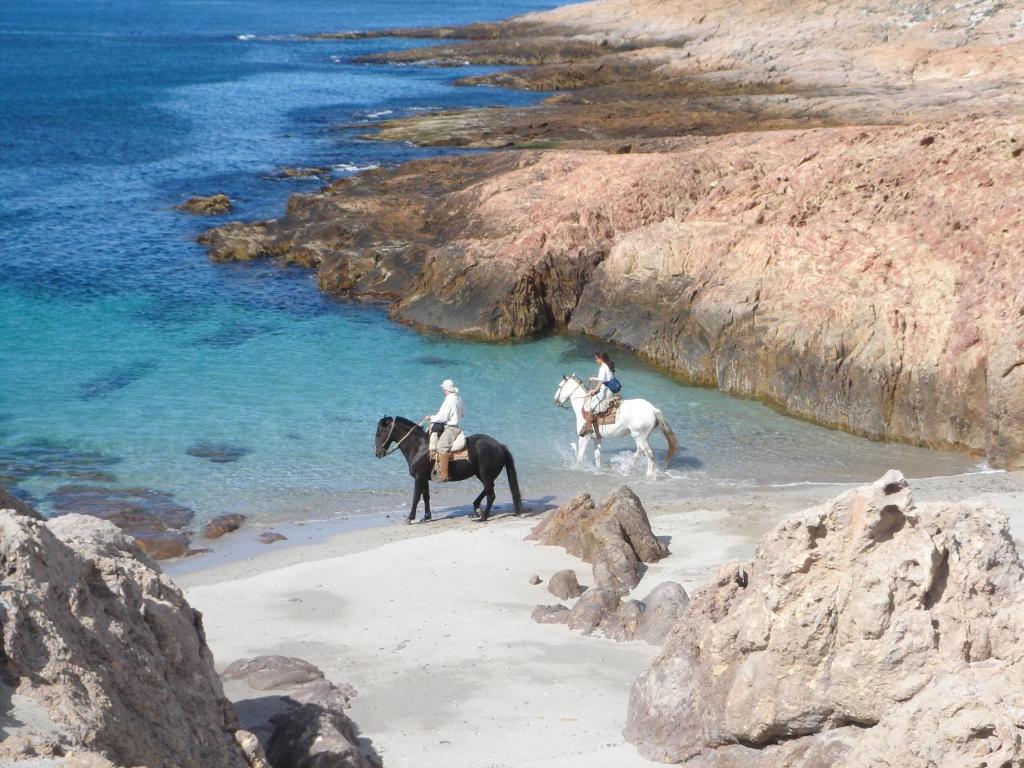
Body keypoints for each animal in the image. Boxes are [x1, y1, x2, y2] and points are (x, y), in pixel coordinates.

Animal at [374, 417, 524, 528]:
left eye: (379, 432)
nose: (377, 453)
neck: (419, 447)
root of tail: (500, 446)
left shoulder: (419, 477)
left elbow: (416, 497)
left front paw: (410, 518)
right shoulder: (423, 478)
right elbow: (426, 497)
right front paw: (426, 517)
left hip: (485, 475)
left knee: (491, 495)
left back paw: (482, 517)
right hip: (482, 475)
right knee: (489, 490)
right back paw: (476, 508)